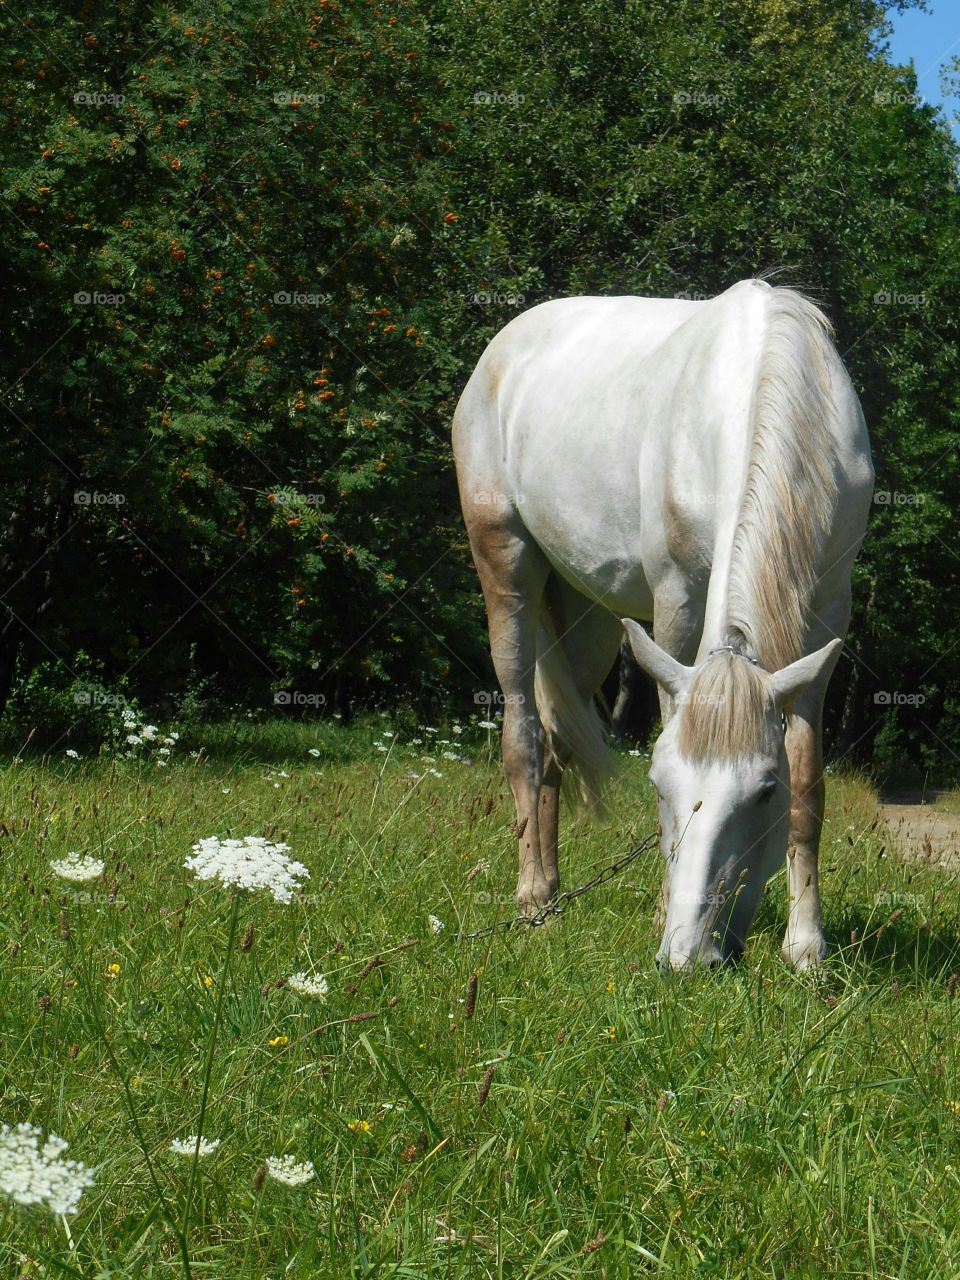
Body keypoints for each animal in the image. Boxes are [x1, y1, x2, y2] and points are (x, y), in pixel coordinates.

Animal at [455, 277, 875, 967]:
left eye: (765, 791)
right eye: (657, 784)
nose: (689, 957)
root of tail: (503, 347)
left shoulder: (827, 610)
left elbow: (810, 782)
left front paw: (805, 946)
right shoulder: (676, 600)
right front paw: (661, 911)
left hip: (588, 620)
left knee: (556, 741)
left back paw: (553, 891)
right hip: (504, 564)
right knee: (523, 737)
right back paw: (532, 900)